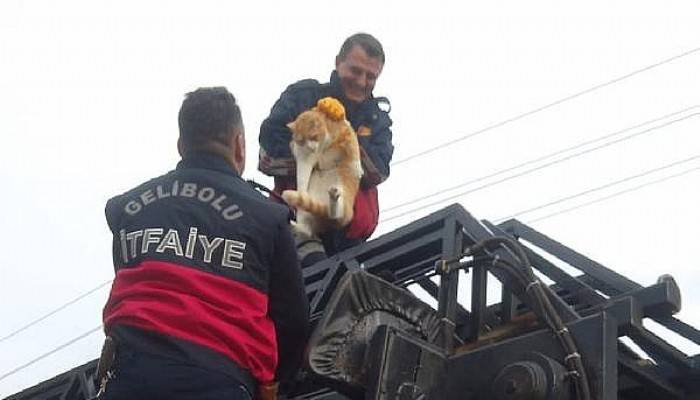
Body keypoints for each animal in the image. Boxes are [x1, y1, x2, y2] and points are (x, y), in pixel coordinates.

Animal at [282, 97, 364, 238]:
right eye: (301, 140)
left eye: (313, 137)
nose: (310, 147)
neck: (322, 145)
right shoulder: (304, 157)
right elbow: (302, 176)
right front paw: (301, 191)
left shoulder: (345, 131)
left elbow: (352, 147)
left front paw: (356, 166)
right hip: (305, 212)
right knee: (309, 227)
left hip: (344, 198)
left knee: (336, 214)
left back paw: (333, 197)